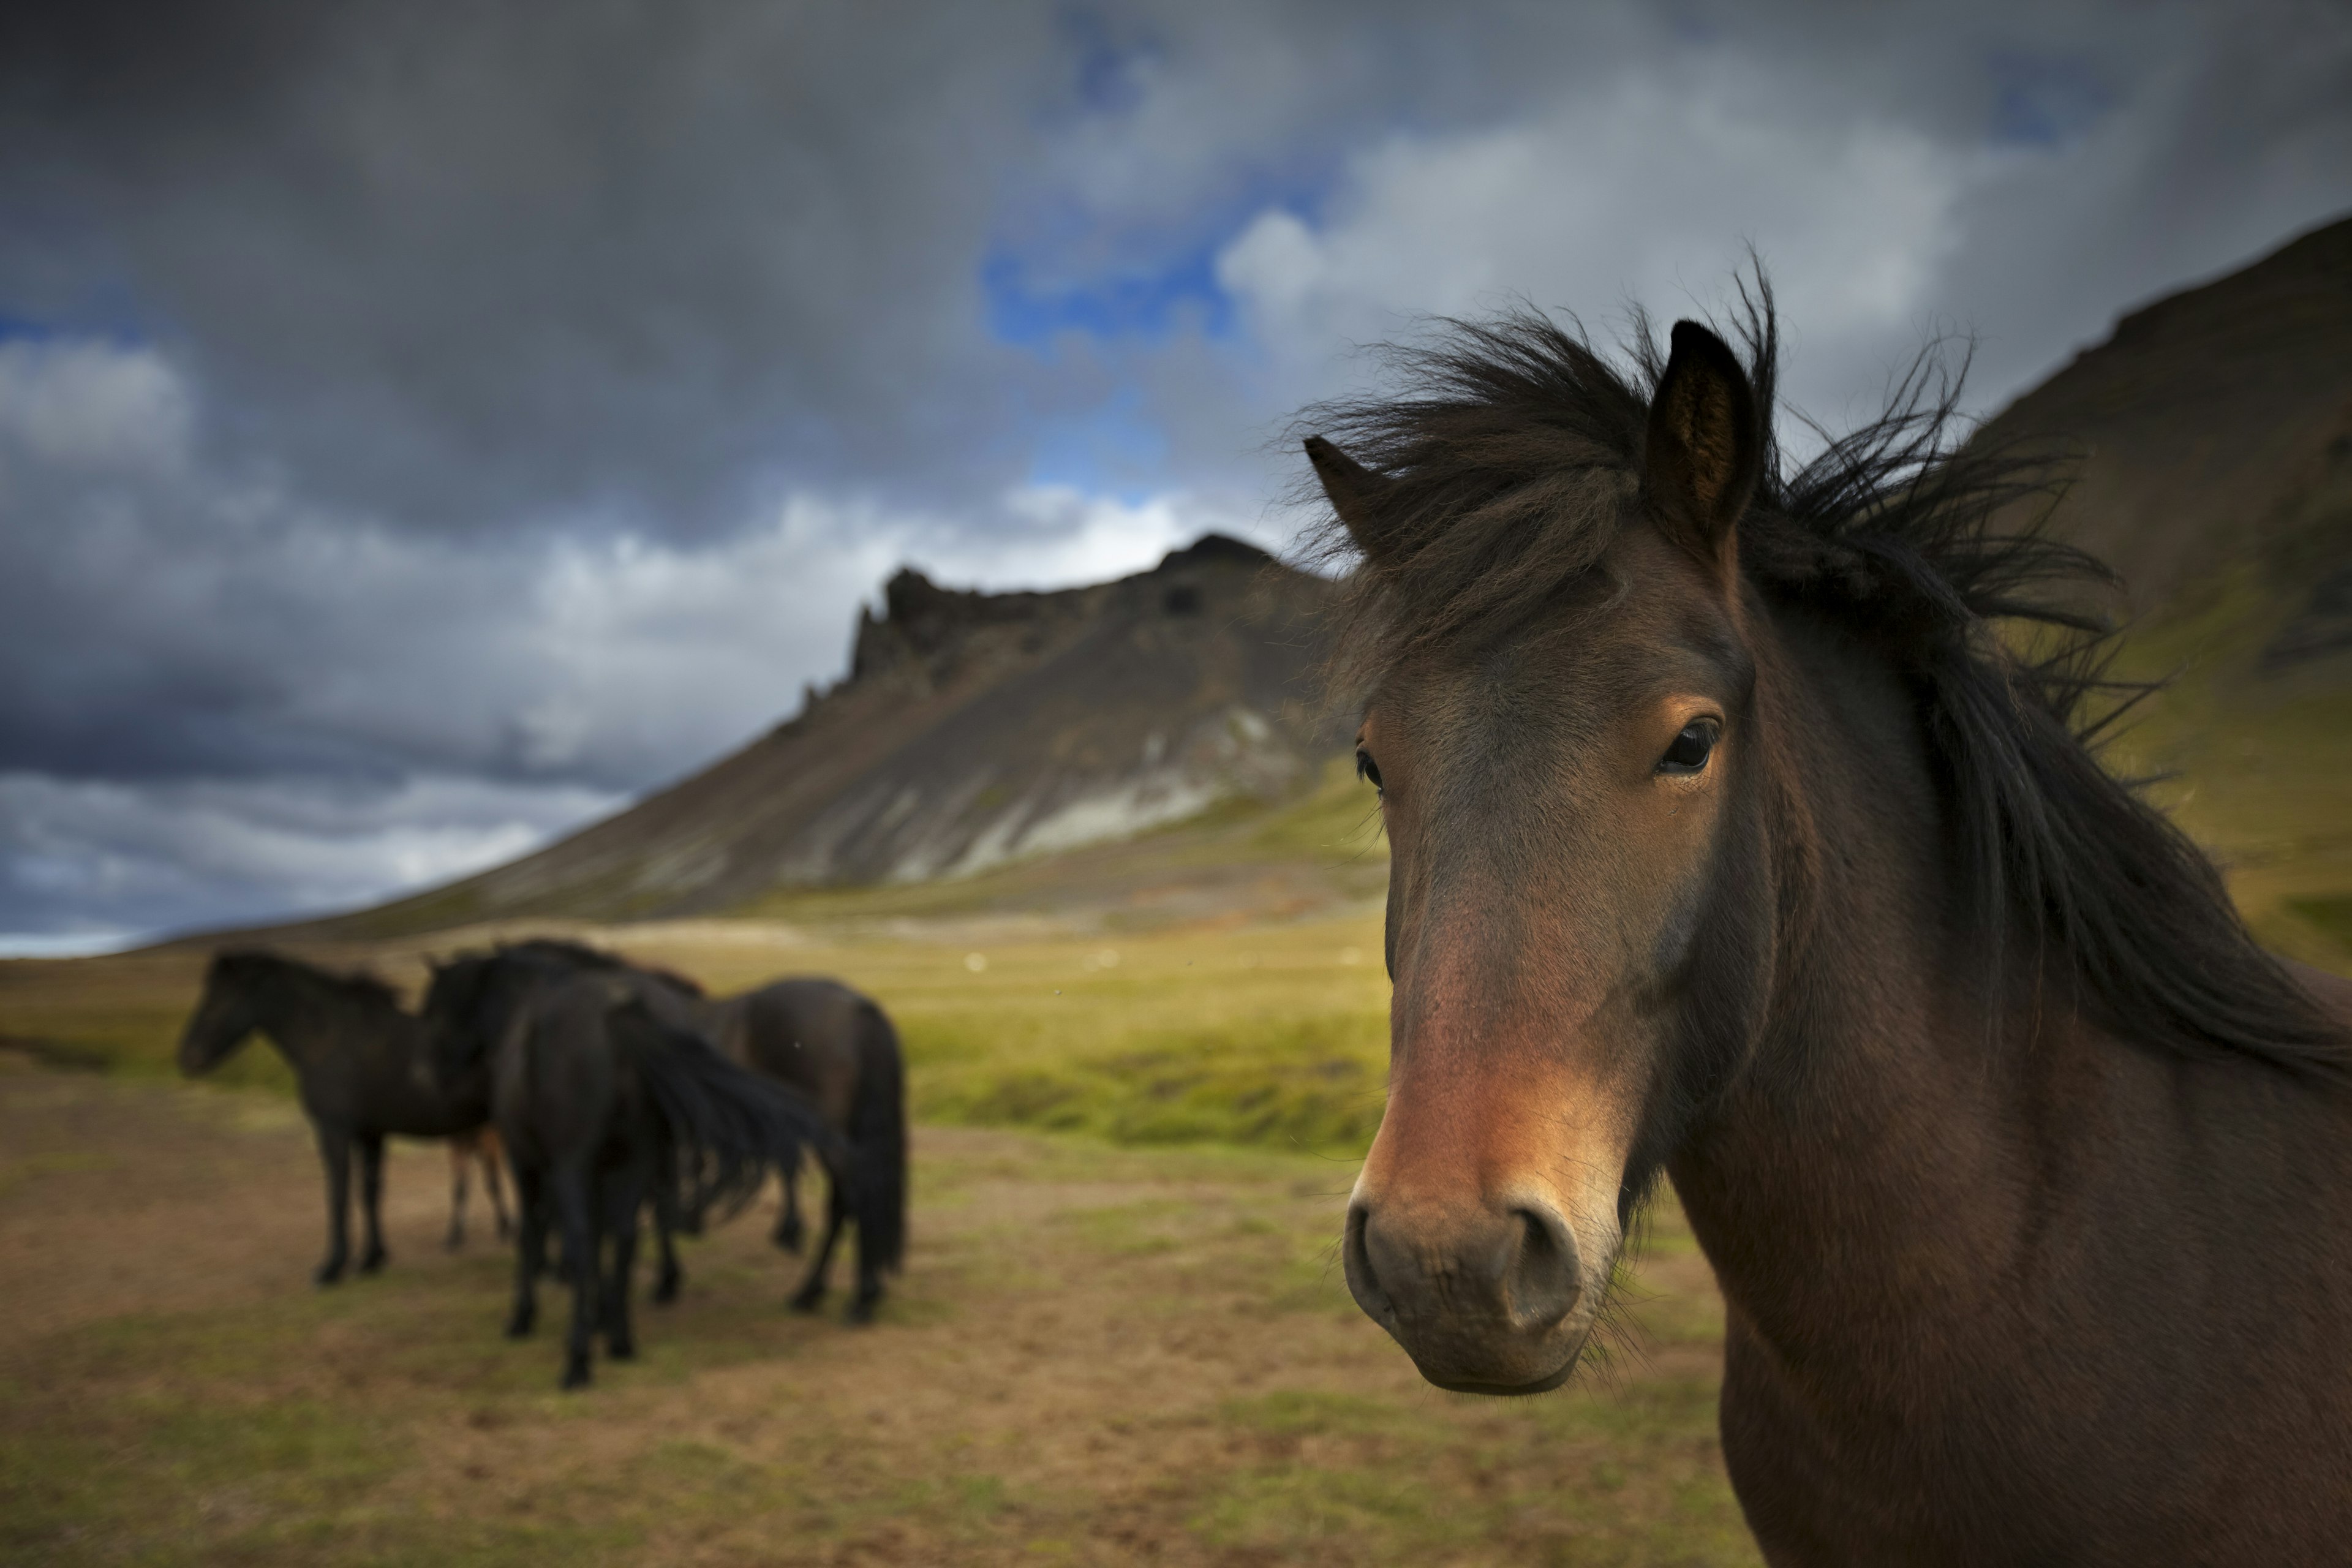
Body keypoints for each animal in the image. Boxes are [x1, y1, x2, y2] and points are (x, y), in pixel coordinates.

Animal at [182, 949, 510, 1278]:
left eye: (217, 999)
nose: (187, 1056)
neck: (332, 1040)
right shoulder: (370, 1134)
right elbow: (370, 1192)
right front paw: (372, 1258)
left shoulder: (334, 1131)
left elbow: (338, 1194)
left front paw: (333, 1267)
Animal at [428, 944, 842, 1382]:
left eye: (436, 1006)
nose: (436, 1074)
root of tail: (615, 1017)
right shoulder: (618, 1167)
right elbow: (614, 1232)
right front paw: (612, 1309)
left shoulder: (528, 1162)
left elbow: (538, 1234)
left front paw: (527, 1315)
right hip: (633, 1159)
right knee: (626, 1235)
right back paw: (621, 1339)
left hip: (574, 1165)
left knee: (584, 1236)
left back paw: (579, 1360)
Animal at [482, 944, 903, 1325]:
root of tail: (858, 1007)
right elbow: (649, 1206)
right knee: (844, 1202)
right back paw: (815, 1292)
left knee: (854, 1199)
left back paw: (857, 1300)